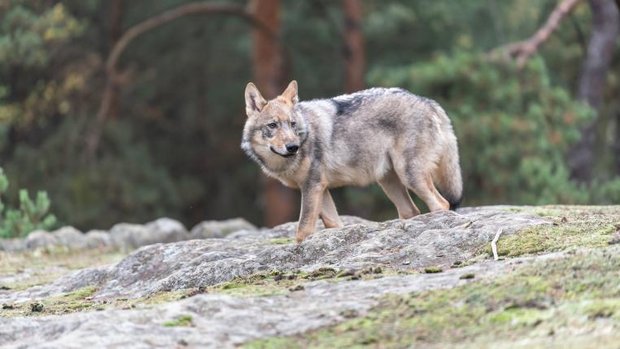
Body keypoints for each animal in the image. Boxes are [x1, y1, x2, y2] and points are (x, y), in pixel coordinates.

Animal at [241, 80, 460, 242]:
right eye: (272, 125)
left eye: (292, 124)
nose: (293, 147)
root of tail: (429, 102)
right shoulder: (320, 188)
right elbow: (333, 225)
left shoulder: (312, 186)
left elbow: (302, 231)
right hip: (389, 182)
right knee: (412, 210)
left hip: (410, 177)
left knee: (442, 203)